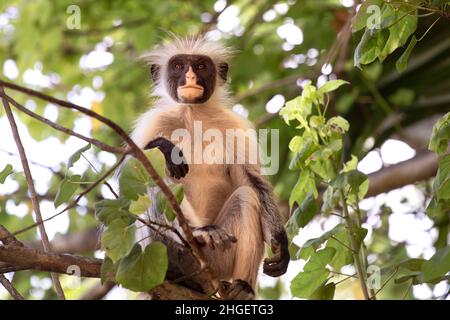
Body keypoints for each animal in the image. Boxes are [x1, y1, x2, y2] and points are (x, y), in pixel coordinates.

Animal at [130, 35, 288, 300]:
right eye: (178, 66)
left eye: (201, 66)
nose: (191, 77)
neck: (192, 114)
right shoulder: (153, 122)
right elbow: (131, 179)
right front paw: (164, 147)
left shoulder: (234, 125)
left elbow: (251, 180)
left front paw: (280, 244)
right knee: (152, 178)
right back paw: (194, 238)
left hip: (220, 257)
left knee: (246, 197)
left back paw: (243, 288)